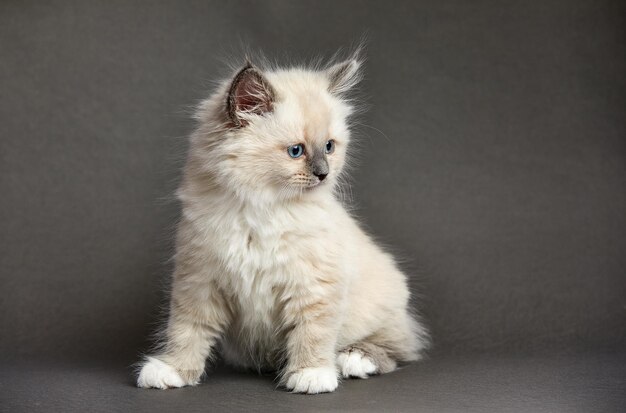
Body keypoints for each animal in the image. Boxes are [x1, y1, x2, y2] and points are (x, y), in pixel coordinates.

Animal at [135, 51, 428, 392]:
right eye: (296, 151)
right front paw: (172, 370)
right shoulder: (199, 281)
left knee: (398, 348)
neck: (261, 210)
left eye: (329, 147)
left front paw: (311, 375)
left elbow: (312, 332)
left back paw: (353, 359)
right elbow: (186, 331)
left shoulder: (314, 285)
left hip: (380, 308)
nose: (323, 173)